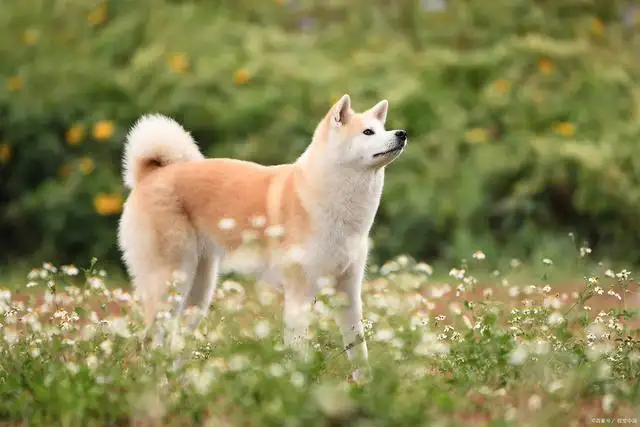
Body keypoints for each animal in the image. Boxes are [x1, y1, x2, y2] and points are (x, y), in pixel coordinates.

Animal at [117, 94, 408, 382]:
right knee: (150, 343)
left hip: (198, 293)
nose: (402, 133)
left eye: (382, 128)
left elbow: (358, 352)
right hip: (171, 283)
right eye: (367, 132)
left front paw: (365, 388)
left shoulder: (347, 292)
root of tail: (152, 175)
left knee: (175, 344)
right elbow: (299, 352)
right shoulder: (299, 295)